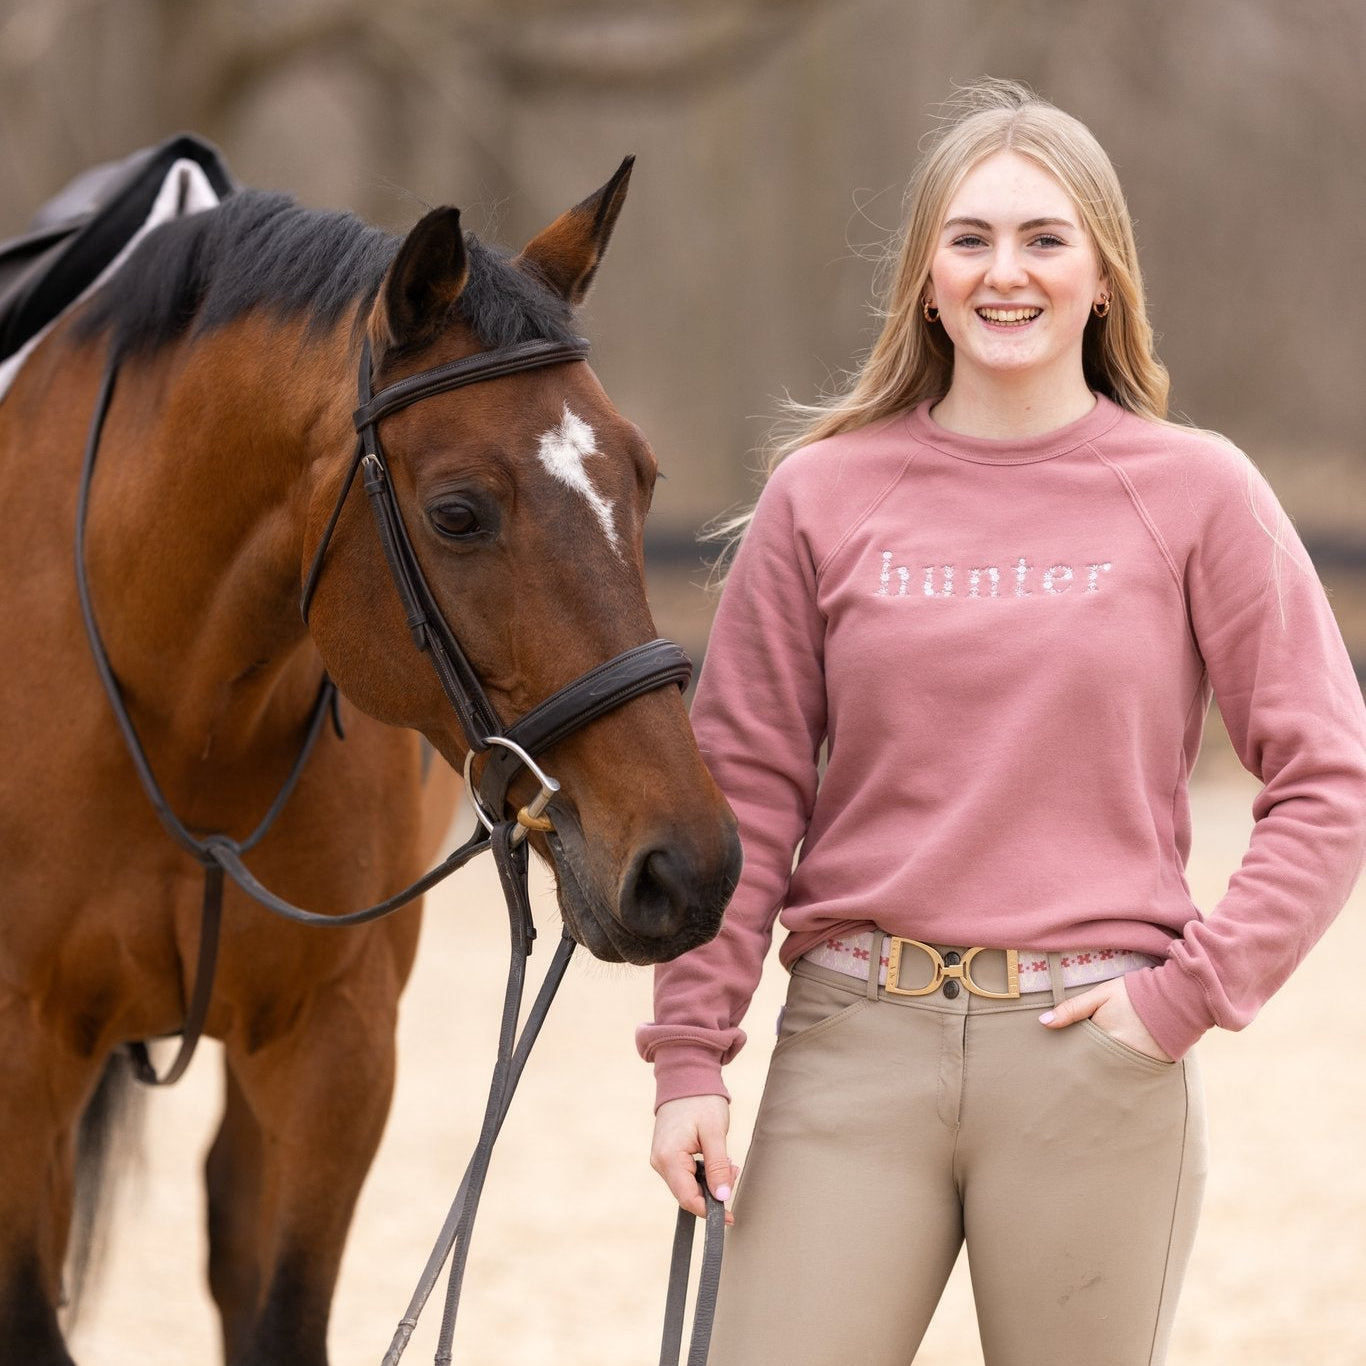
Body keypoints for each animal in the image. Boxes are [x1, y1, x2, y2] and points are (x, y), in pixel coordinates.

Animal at [0, 149, 737, 1366]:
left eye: (640, 478)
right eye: (457, 513)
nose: (690, 868)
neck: (182, 700)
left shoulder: (334, 1049)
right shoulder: (21, 1051)